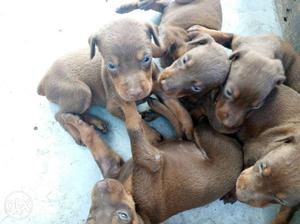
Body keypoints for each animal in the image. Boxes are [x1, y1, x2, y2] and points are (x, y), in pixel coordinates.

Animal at [62, 99, 243, 223]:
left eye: (123, 215)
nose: (103, 185)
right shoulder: (150, 158)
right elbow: (131, 126)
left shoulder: (113, 165)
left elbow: (92, 136)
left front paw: (70, 117)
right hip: (205, 134)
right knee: (193, 125)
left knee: (184, 128)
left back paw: (157, 107)